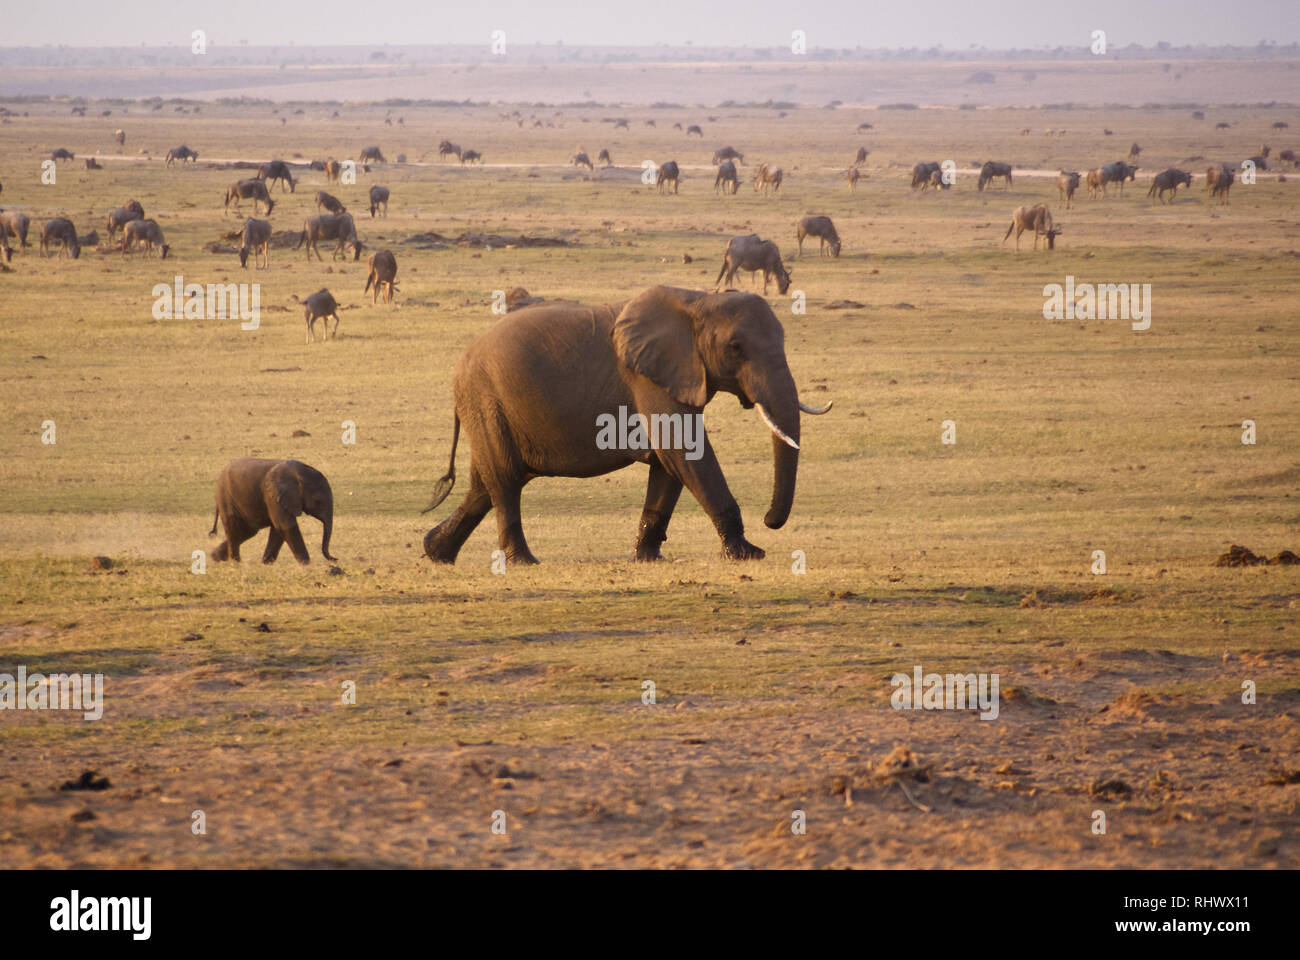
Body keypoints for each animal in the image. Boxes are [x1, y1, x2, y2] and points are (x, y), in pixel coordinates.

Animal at [210, 455, 338, 561]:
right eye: (318, 501)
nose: (335, 559)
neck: (298, 474)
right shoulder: (273, 495)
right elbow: (284, 526)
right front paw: (306, 564)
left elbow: (278, 529)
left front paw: (266, 563)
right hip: (226, 498)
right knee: (235, 529)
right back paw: (235, 563)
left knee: (246, 531)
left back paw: (215, 557)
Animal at [423, 282, 832, 561]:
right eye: (735, 348)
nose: (769, 519)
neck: (698, 300)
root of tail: (460, 368)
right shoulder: (647, 378)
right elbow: (684, 453)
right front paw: (748, 553)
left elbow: (669, 465)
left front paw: (647, 558)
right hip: (485, 400)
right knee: (505, 481)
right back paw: (524, 562)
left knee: (486, 484)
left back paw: (435, 552)